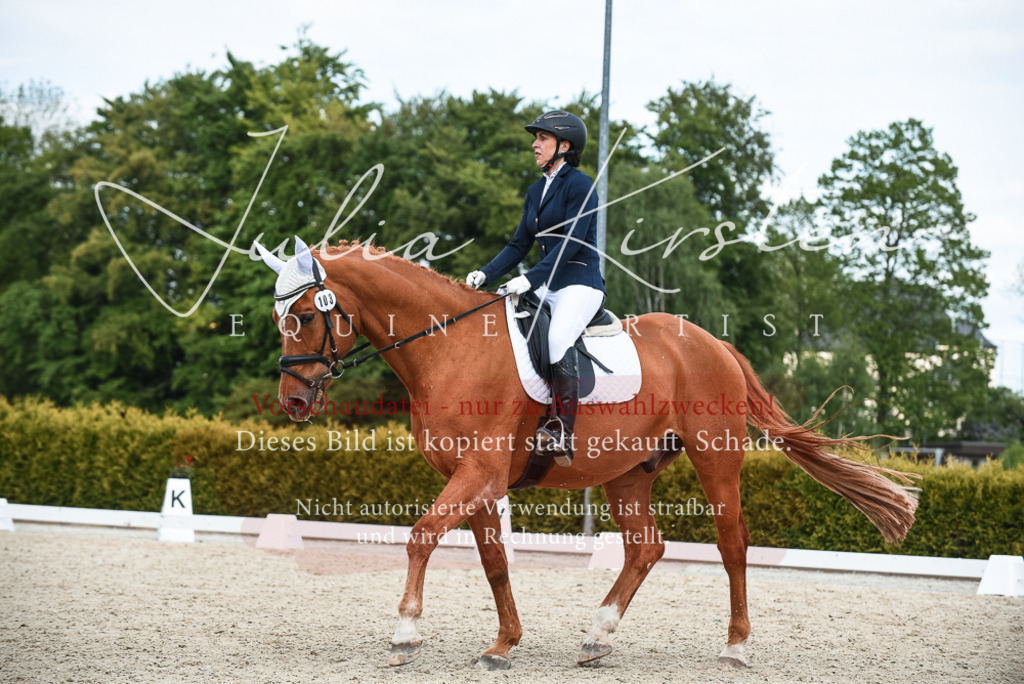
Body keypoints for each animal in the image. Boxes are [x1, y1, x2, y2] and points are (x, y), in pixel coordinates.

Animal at [254, 236, 918, 671]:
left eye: (307, 314)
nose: (293, 401)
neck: (450, 348)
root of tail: (716, 344)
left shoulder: (478, 471)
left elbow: (420, 537)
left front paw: (405, 630)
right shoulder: (477, 480)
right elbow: (494, 562)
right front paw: (503, 644)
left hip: (716, 457)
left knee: (732, 542)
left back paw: (735, 645)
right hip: (629, 472)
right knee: (645, 546)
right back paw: (599, 635)